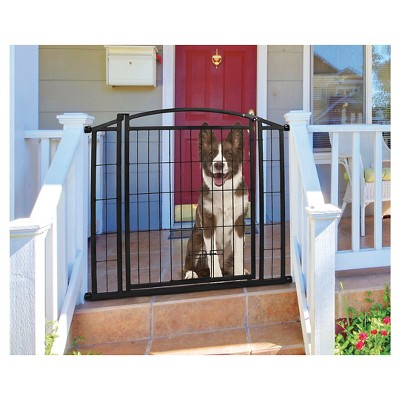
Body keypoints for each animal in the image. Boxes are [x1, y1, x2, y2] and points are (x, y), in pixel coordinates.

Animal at [185, 122, 250, 278]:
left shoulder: (239, 223)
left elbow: (239, 254)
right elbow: (212, 254)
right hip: (197, 239)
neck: (223, 191)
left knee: (227, 265)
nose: (218, 165)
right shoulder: (208, 223)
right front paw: (216, 276)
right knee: (189, 264)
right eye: (211, 154)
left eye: (229, 154)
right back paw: (191, 273)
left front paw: (239, 273)